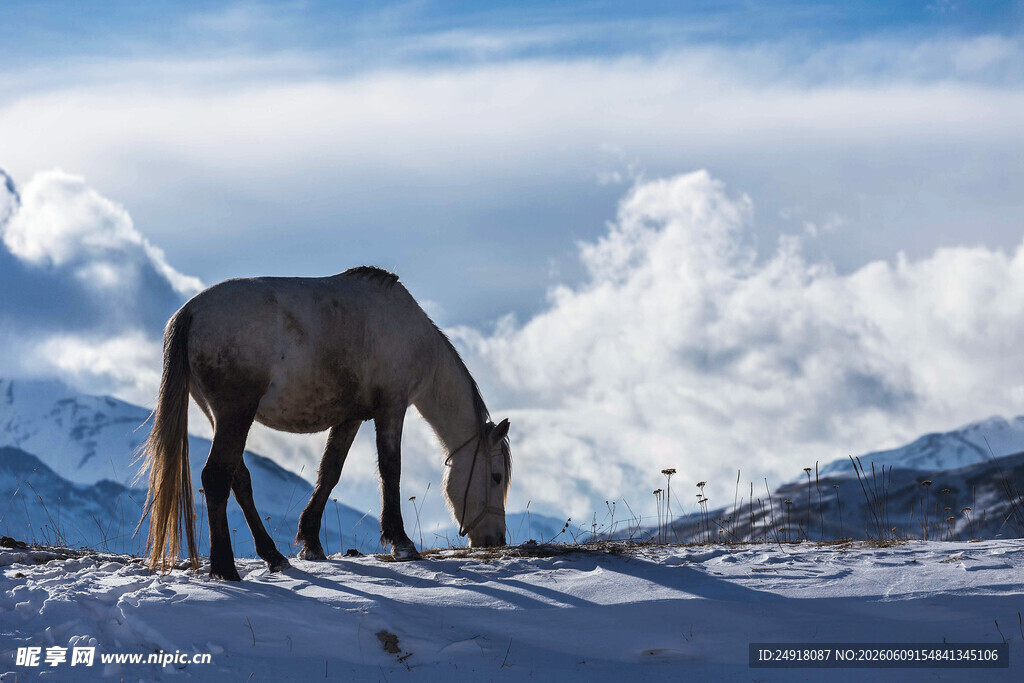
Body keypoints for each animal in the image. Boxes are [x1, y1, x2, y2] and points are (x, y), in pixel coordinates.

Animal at [137, 266, 511, 581]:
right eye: (495, 477)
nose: (495, 539)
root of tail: (190, 312)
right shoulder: (392, 408)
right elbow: (391, 470)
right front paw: (402, 543)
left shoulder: (350, 418)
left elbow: (330, 472)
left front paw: (311, 542)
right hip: (234, 415)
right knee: (216, 477)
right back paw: (226, 569)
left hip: (222, 418)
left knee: (238, 479)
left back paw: (273, 556)